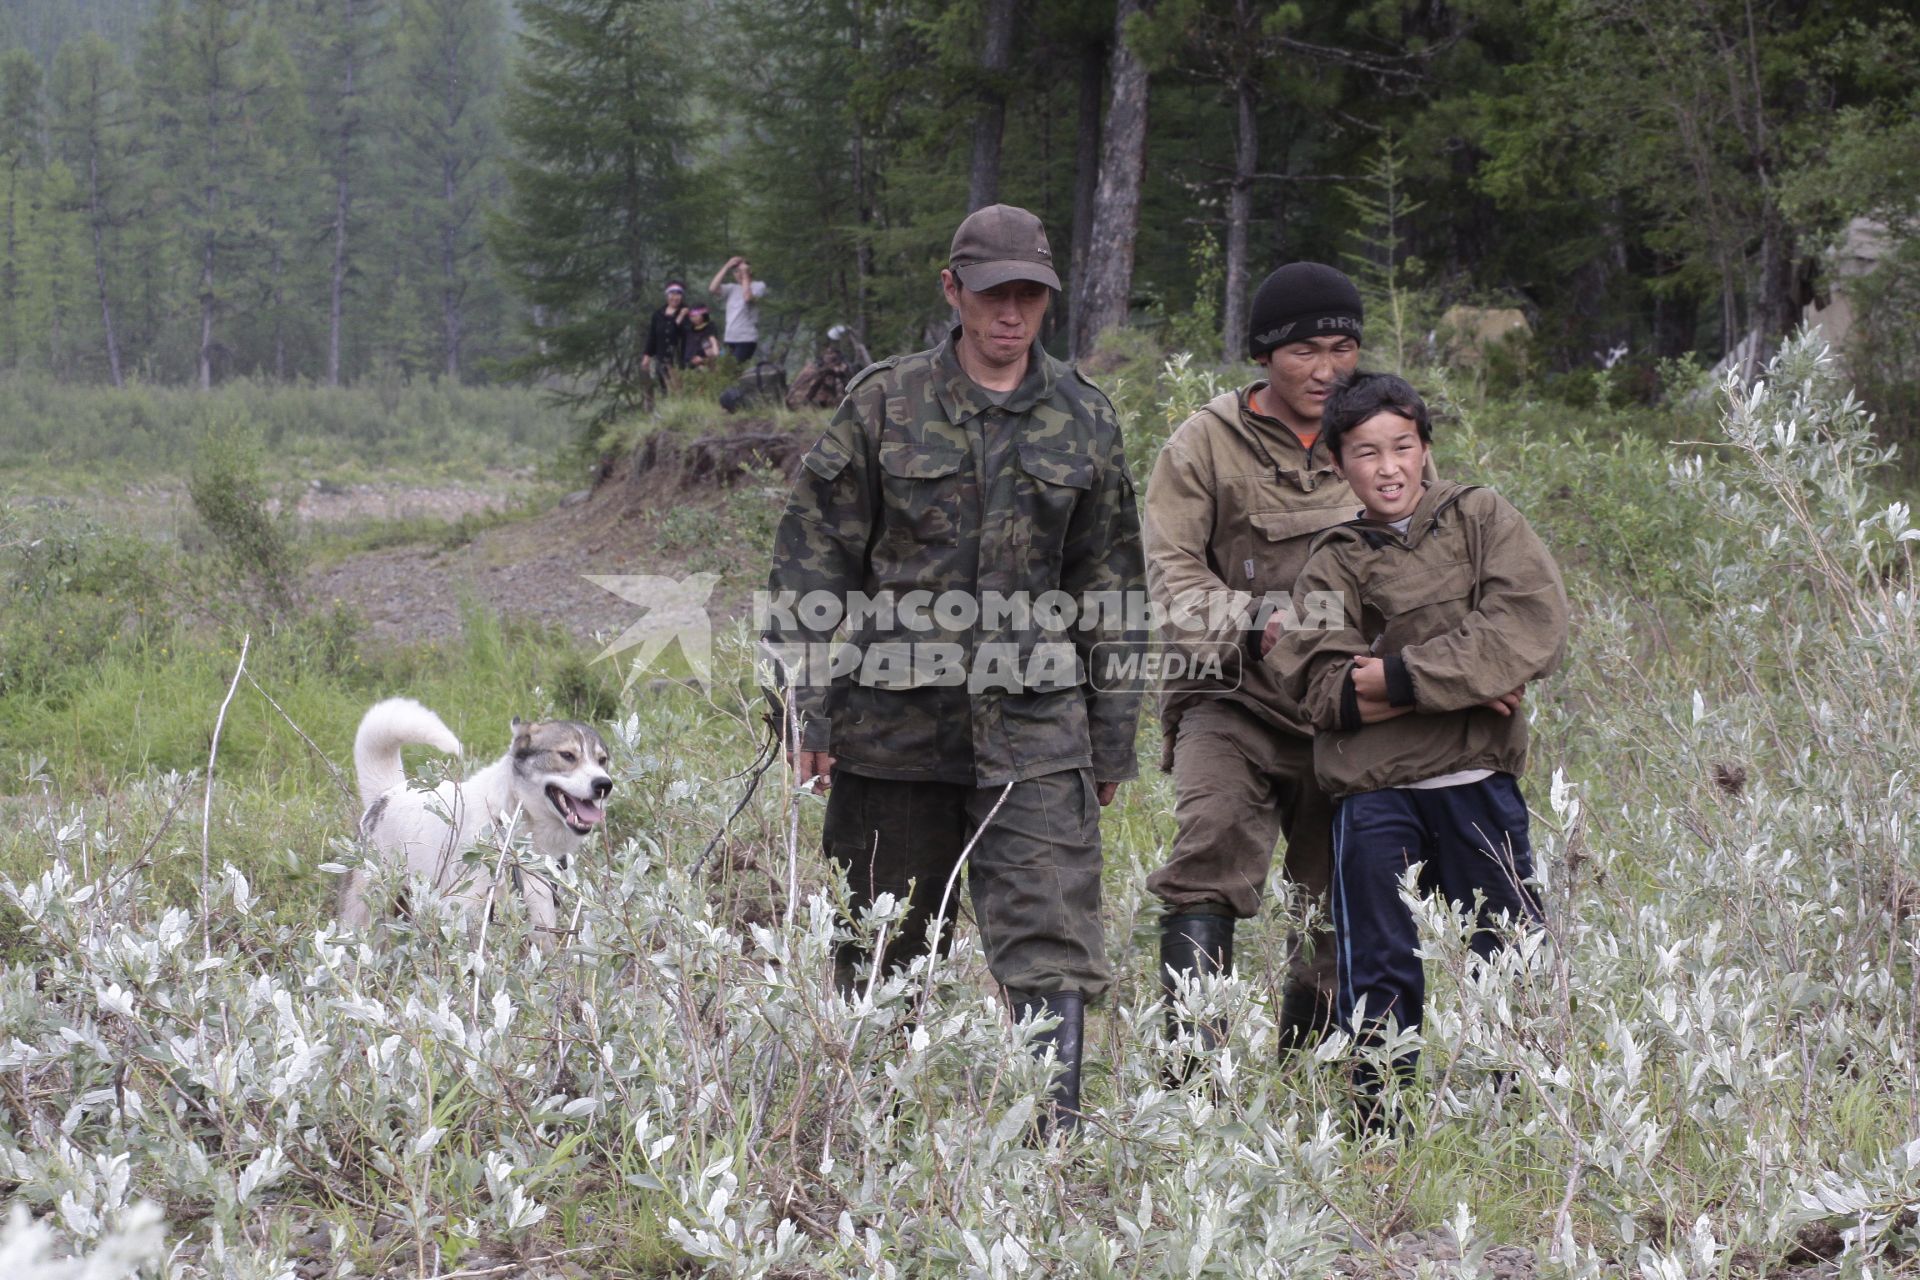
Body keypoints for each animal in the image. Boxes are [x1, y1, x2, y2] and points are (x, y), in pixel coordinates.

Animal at [341, 702, 610, 940]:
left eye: (602, 760)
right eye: (567, 755)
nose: (604, 785)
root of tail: (386, 793)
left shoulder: (540, 916)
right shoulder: (463, 910)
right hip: (369, 912)